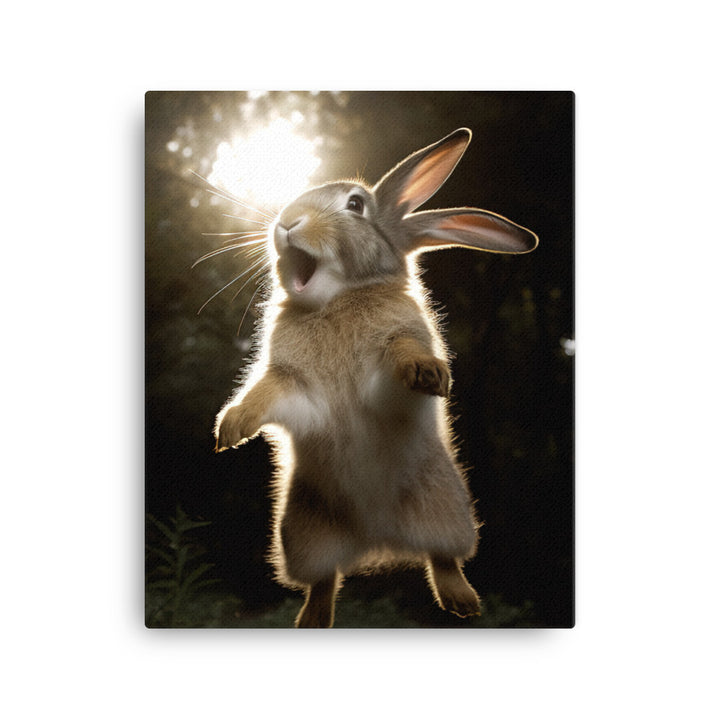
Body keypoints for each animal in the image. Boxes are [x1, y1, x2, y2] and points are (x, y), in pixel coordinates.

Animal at [214, 128, 538, 628]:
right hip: (303, 534)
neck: (339, 298)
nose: (286, 222)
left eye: (354, 204)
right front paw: (231, 428)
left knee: (443, 559)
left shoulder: (392, 355)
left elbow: (402, 355)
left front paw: (429, 373)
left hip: (446, 512)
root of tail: (378, 541)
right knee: (324, 579)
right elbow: (265, 394)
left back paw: (462, 602)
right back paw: (312, 619)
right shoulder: (291, 384)